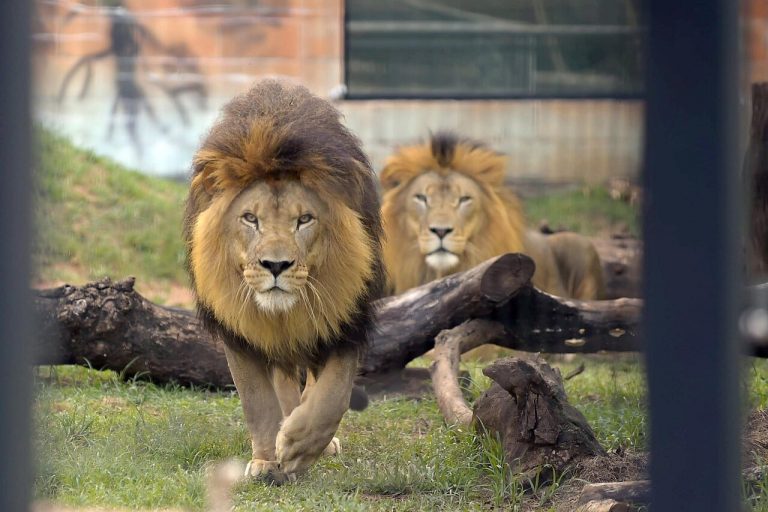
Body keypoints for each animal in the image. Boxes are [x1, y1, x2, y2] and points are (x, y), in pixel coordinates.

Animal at [183, 80, 384, 483]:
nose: (275, 265)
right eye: (250, 218)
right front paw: (266, 460)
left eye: (304, 219)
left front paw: (298, 447)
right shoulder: (239, 330)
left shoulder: (347, 319)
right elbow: (257, 399)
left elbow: (334, 394)